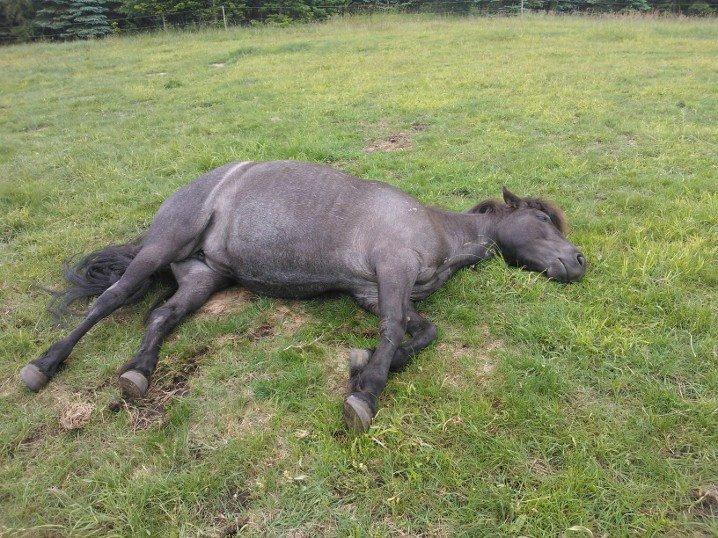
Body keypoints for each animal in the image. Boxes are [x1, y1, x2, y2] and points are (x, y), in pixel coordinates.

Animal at [19, 160, 588, 432]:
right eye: (542, 220)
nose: (579, 261)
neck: (434, 231)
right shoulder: (392, 272)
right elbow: (393, 332)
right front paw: (366, 392)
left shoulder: (375, 290)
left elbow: (422, 332)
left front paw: (363, 364)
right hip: (160, 249)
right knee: (108, 301)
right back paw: (43, 365)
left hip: (203, 277)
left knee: (159, 317)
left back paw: (138, 372)